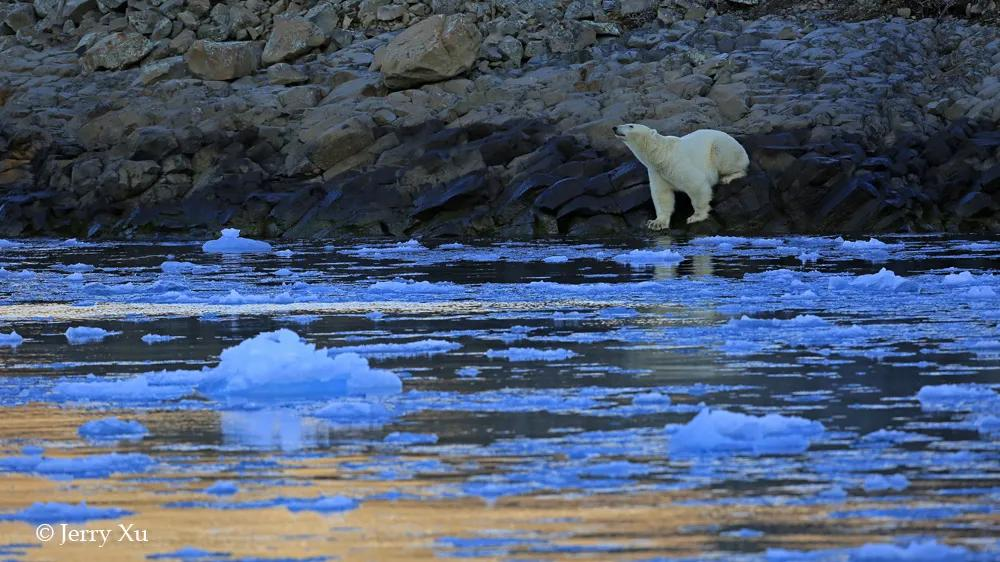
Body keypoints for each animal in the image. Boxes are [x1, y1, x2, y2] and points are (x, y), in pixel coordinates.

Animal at [608, 123, 752, 229]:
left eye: (631, 125)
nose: (614, 127)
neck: (661, 155)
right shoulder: (657, 172)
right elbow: (662, 195)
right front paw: (656, 223)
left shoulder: (678, 163)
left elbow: (696, 185)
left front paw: (695, 217)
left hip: (723, 147)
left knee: (728, 160)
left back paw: (728, 177)